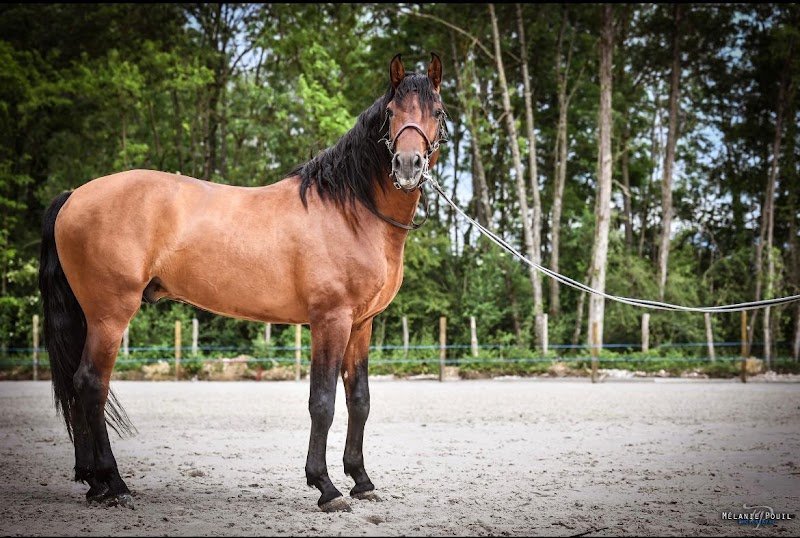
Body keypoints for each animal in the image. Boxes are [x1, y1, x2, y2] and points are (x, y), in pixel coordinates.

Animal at [38, 53, 446, 513]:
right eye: (391, 113)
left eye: (437, 112)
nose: (408, 166)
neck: (349, 211)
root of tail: (74, 196)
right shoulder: (331, 320)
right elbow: (322, 402)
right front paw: (325, 486)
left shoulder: (361, 324)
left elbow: (359, 401)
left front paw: (361, 480)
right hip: (109, 315)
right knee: (91, 385)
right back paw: (115, 483)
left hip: (91, 317)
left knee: (77, 386)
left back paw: (94, 483)